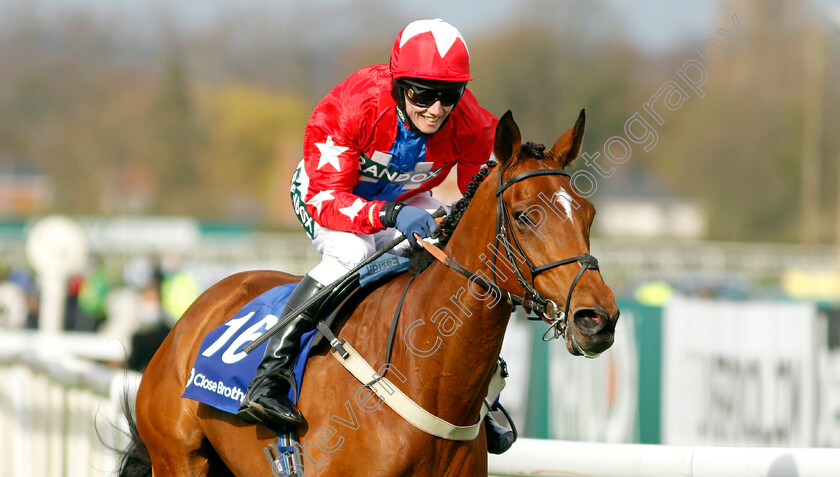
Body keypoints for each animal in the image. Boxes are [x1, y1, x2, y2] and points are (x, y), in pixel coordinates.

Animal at [123, 109, 616, 474]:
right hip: (177, 458)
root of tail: (190, 316)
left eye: (588, 213)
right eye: (524, 215)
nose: (598, 318)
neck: (425, 375)